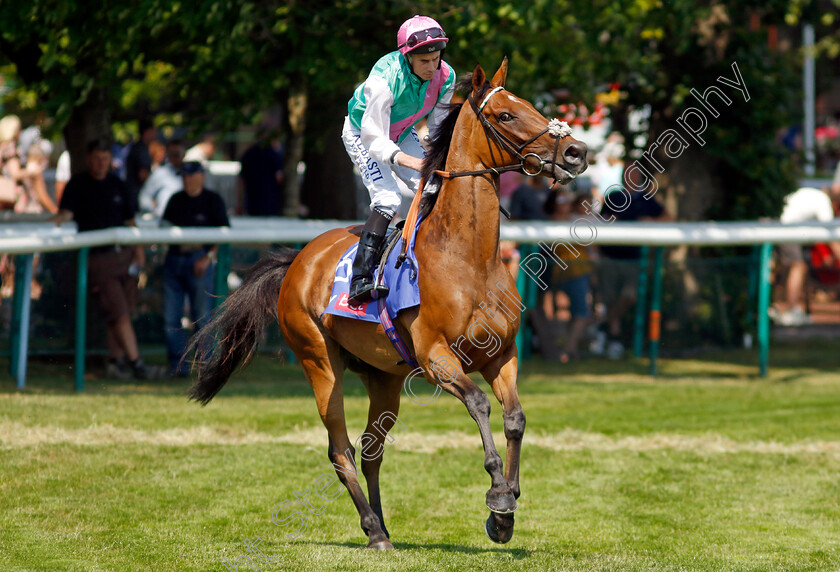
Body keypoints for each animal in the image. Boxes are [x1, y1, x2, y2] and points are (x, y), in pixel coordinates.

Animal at [187, 59, 588, 548]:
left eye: (532, 105)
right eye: (507, 115)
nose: (576, 152)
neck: (466, 258)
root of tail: (297, 259)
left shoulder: (502, 354)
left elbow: (515, 418)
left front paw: (505, 512)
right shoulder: (436, 358)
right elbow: (479, 404)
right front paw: (497, 493)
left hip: (383, 378)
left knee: (371, 449)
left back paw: (381, 525)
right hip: (320, 362)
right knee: (340, 448)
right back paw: (373, 528)